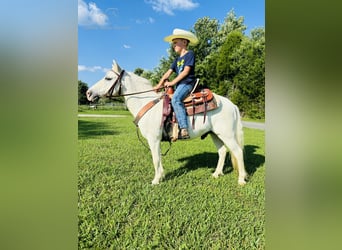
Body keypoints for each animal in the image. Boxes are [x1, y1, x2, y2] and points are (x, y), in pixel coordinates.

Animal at [85, 61, 246, 184]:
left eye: (108, 78)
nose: (88, 93)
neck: (147, 104)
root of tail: (232, 105)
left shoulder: (154, 139)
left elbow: (155, 159)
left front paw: (156, 180)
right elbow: (158, 159)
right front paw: (160, 176)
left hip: (227, 134)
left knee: (237, 151)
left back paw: (241, 180)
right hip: (215, 134)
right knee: (223, 151)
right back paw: (216, 174)